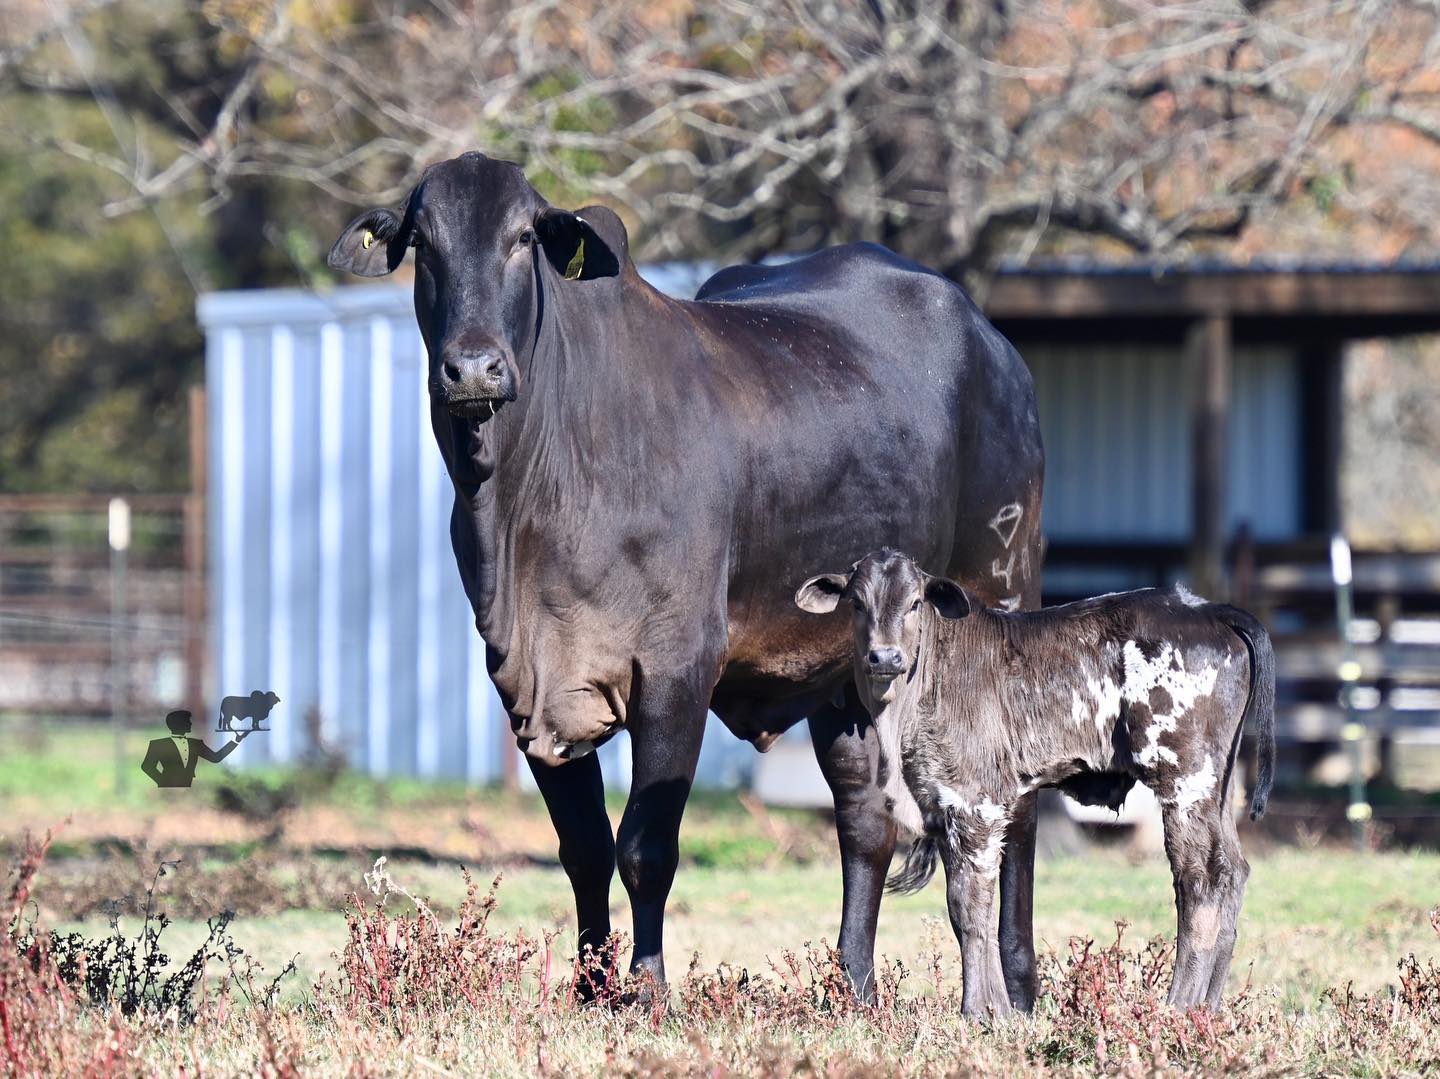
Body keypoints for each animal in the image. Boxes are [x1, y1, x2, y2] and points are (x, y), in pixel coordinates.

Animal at [326, 152, 1046, 1004]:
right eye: (423, 243)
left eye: (522, 238)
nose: (472, 367)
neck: (527, 500)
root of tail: (996, 347)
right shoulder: (523, 680)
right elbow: (584, 846)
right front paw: (591, 988)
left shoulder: (677, 668)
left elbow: (645, 846)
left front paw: (648, 989)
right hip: (849, 667)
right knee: (864, 816)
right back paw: (853, 985)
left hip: (1001, 589)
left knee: (1018, 805)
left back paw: (1019, 983)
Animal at [795, 549, 1276, 1016]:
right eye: (857, 603)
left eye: (915, 602)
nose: (885, 657)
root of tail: (1203, 607)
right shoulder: (946, 806)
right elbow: (969, 909)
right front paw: (1000, 1011)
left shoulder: (974, 802)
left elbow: (969, 907)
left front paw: (978, 1012)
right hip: (1218, 784)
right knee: (1234, 871)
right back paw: (1207, 1011)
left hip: (1183, 777)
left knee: (1201, 878)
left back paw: (1176, 1009)